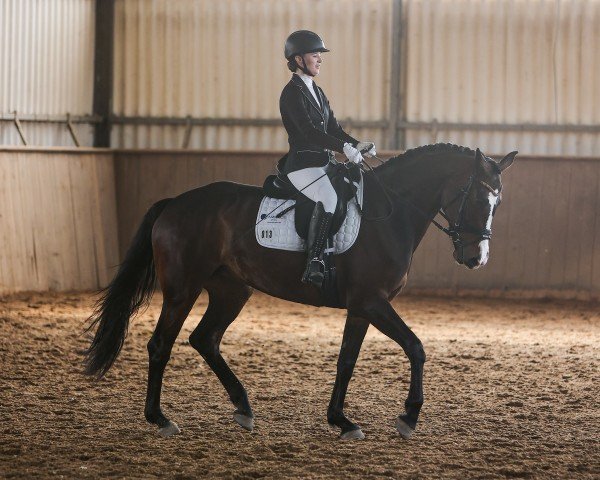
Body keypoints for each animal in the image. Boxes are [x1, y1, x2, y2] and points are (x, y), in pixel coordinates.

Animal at [83, 142, 516, 438]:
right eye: (479, 198)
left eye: (498, 203)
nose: (475, 257)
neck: (390, 214)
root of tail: (175, 203)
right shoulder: (371, 301)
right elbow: (416, 347)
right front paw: (409, 416)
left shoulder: (361, 306)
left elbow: (346, 361)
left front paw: (341, 420)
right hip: (182, 288)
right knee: (161, 344)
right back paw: (160, 418)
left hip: (231, 290)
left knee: (205, 338)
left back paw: (243, 408)